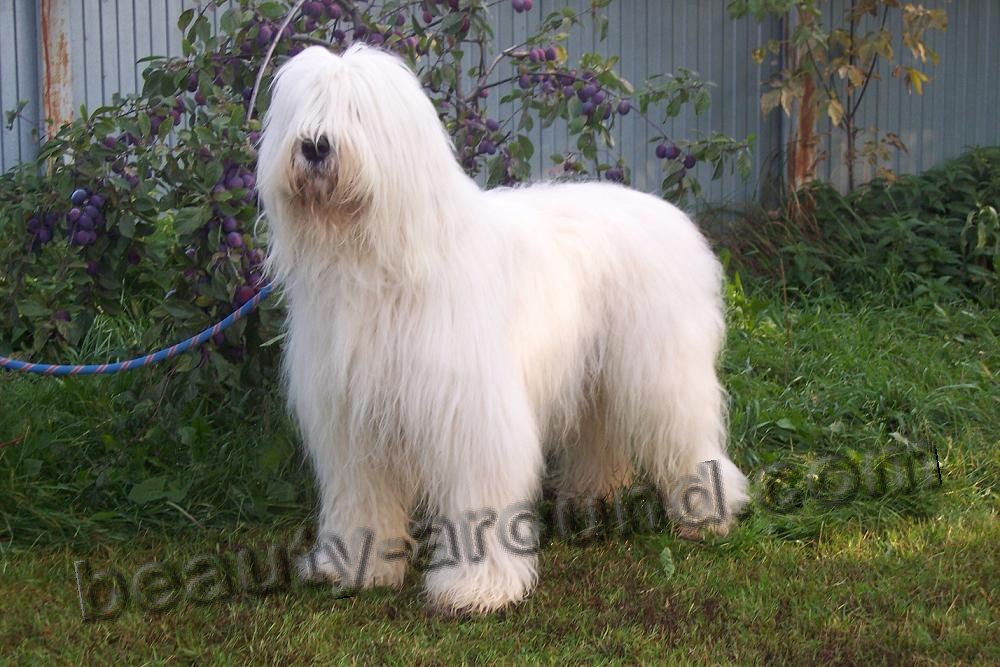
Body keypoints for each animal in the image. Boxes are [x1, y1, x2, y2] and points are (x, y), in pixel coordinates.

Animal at [258, 44, 752, 612]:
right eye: (304, 110)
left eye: (357, 112)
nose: (315, 146)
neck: (379, 261)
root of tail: (670, 215)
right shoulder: (353, 420)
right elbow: (363, 497)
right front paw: (357, 566)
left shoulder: (472, 412)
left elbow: (480, 496)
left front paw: (478, 587)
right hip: (595, 370)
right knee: (602, 429)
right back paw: (593, 494)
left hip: (661, 371)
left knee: (688, 434)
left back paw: (707, 512)